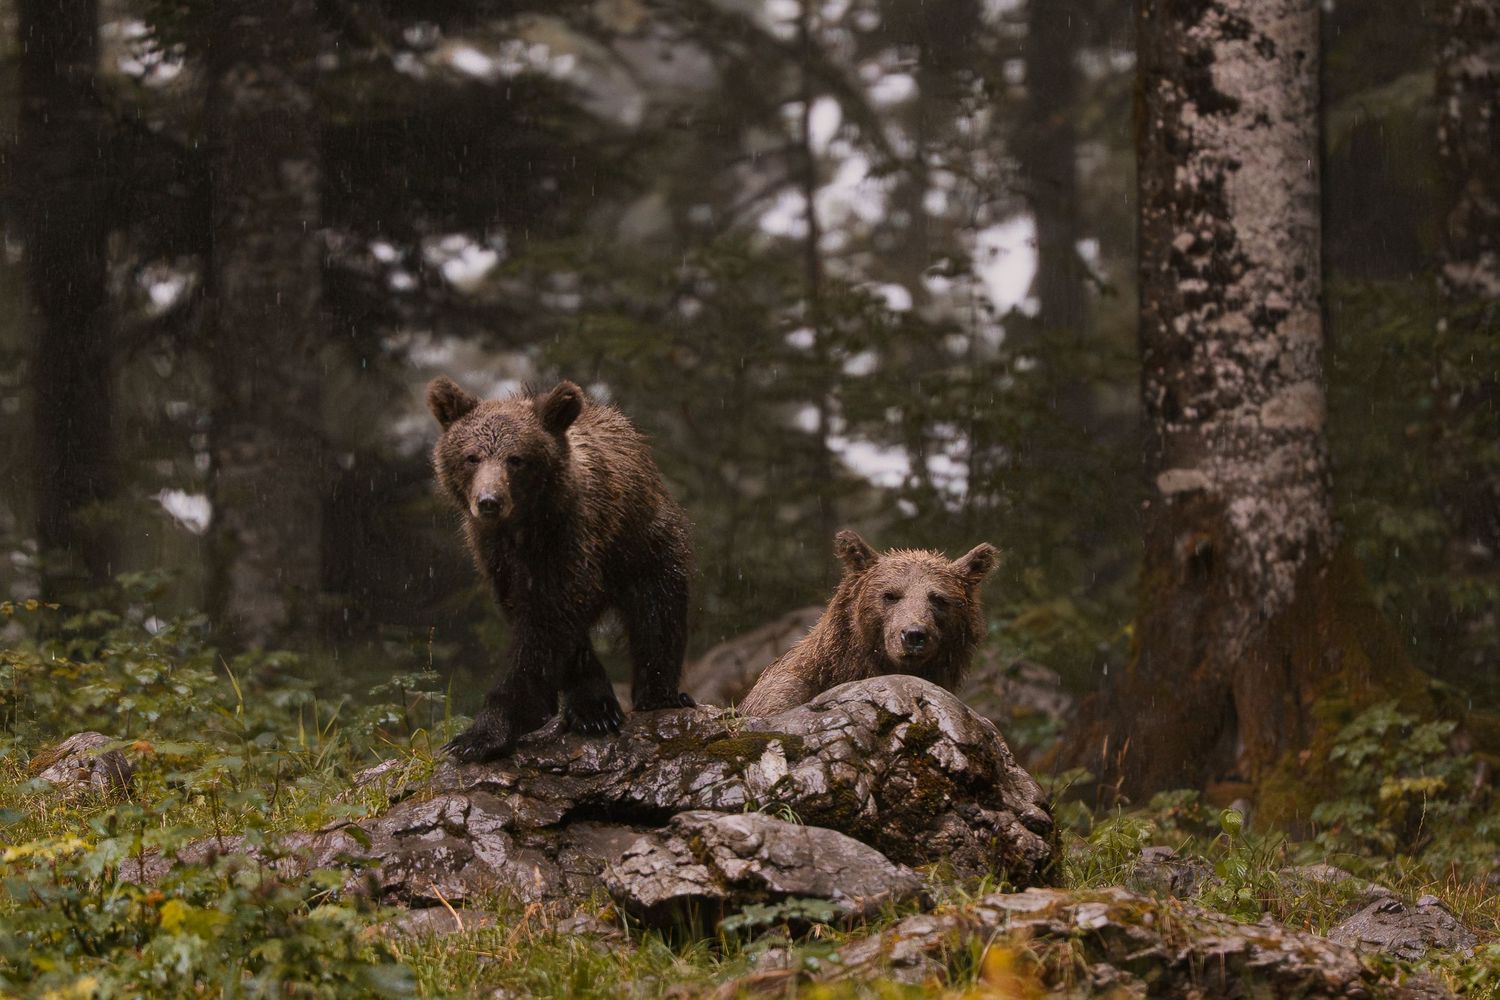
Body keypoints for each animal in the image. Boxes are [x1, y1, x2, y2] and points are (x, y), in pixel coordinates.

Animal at [426, 375, 694, 762]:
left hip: (645, 545)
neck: (526, 528)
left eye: (516, 459)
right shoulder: (499, 560)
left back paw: (661, 694)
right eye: (471, 457)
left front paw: (482, 733)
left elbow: (545, 630)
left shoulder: (571, 541)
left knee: (658, 614)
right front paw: (592, 707)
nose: (489, 501)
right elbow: (548, 627)